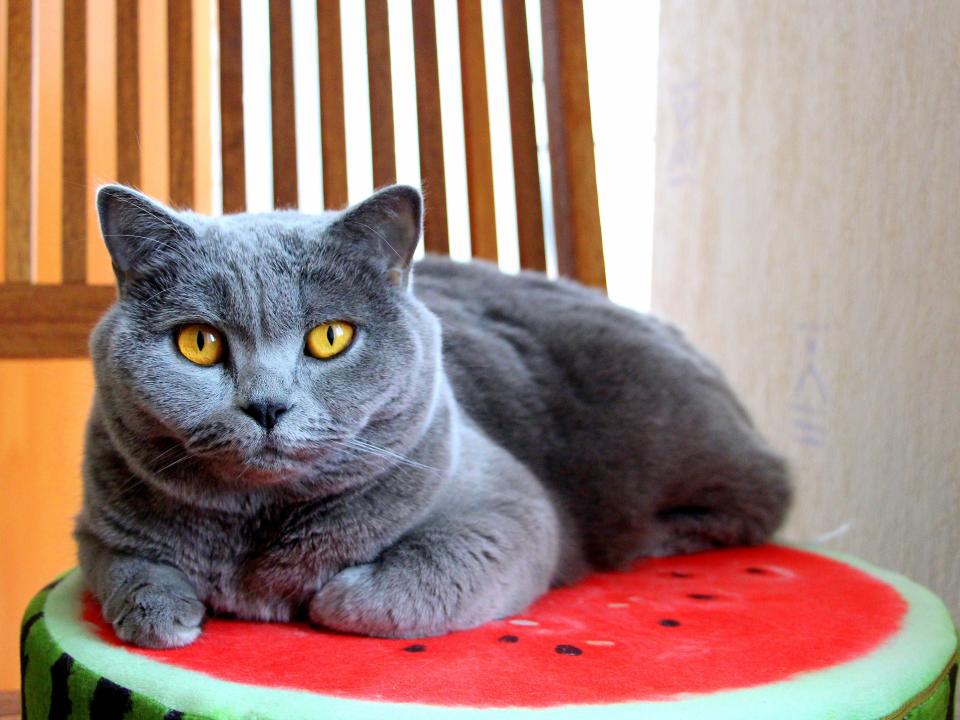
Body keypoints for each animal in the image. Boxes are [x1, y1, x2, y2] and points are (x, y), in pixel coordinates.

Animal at [79, 183, 792, 648]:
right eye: (199, 343)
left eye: (330, 338)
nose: (266, 405)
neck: (260, 527)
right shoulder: (96, 526)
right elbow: (127, 570)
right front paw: (164, 613)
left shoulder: (508, 512)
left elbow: (383, 592)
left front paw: (323, 597)